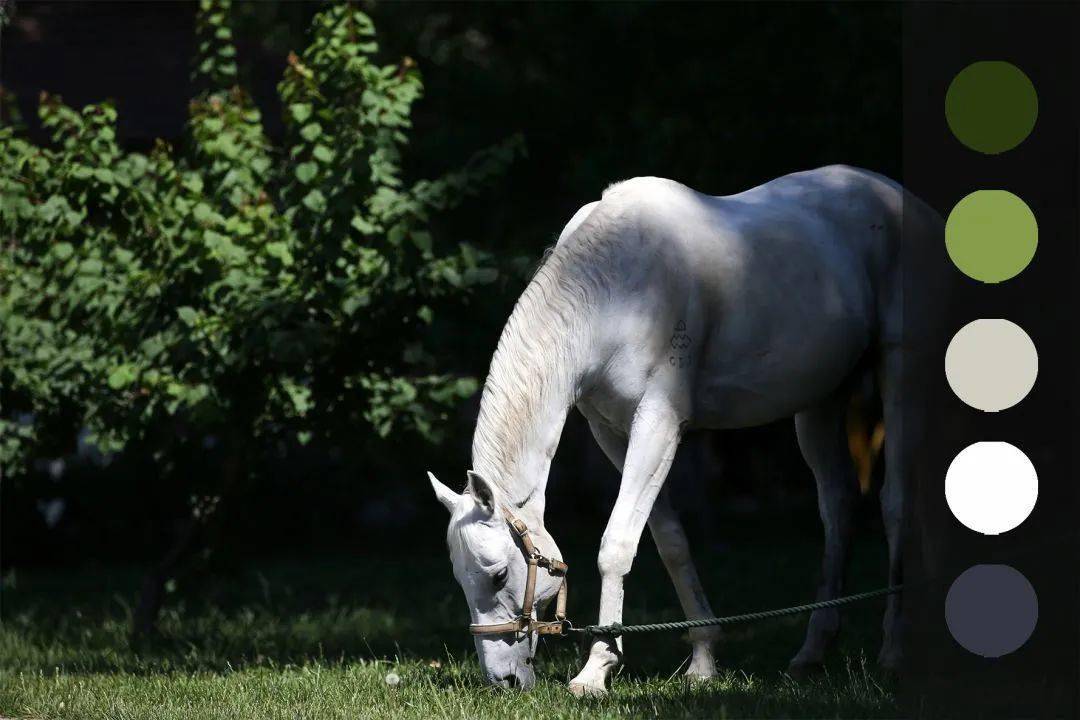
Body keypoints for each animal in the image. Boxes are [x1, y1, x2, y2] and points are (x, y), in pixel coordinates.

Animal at [427, 166, 937, 695]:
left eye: (497, 574)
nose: (502, 680)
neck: (612, 290)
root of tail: (911, 205)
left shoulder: (659, 422)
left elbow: (617, 544)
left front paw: (596, 669)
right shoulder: (612, 431)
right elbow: (668, 539)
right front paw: (704, 659)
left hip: (900, 372)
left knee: (895, 504)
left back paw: (894, 651)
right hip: (818, 403)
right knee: (838, 507)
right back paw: (812, 652)